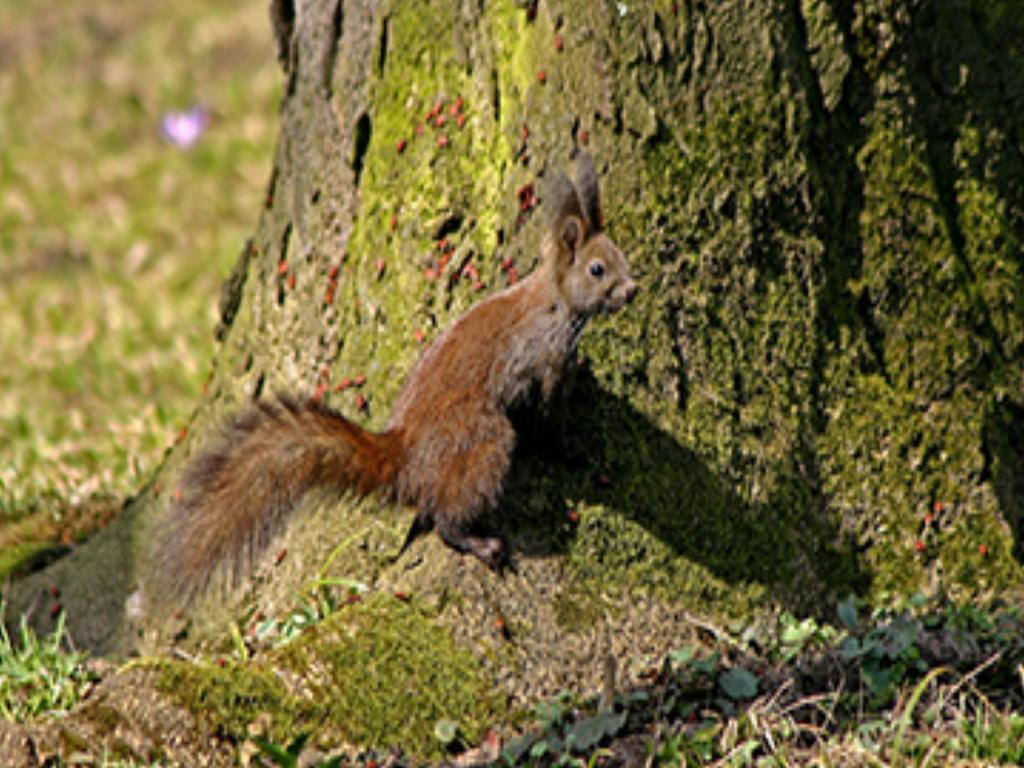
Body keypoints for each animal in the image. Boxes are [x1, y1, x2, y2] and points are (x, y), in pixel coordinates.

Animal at [149, 153, 634, 606]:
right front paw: (573, 452)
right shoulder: (542, 362)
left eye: (622, 256)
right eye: (597, 269)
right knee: (446, 519)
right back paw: (482, 544)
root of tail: (406, 457)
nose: (632, 291)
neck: (554, 302)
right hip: (481, 441)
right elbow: (551, 417)